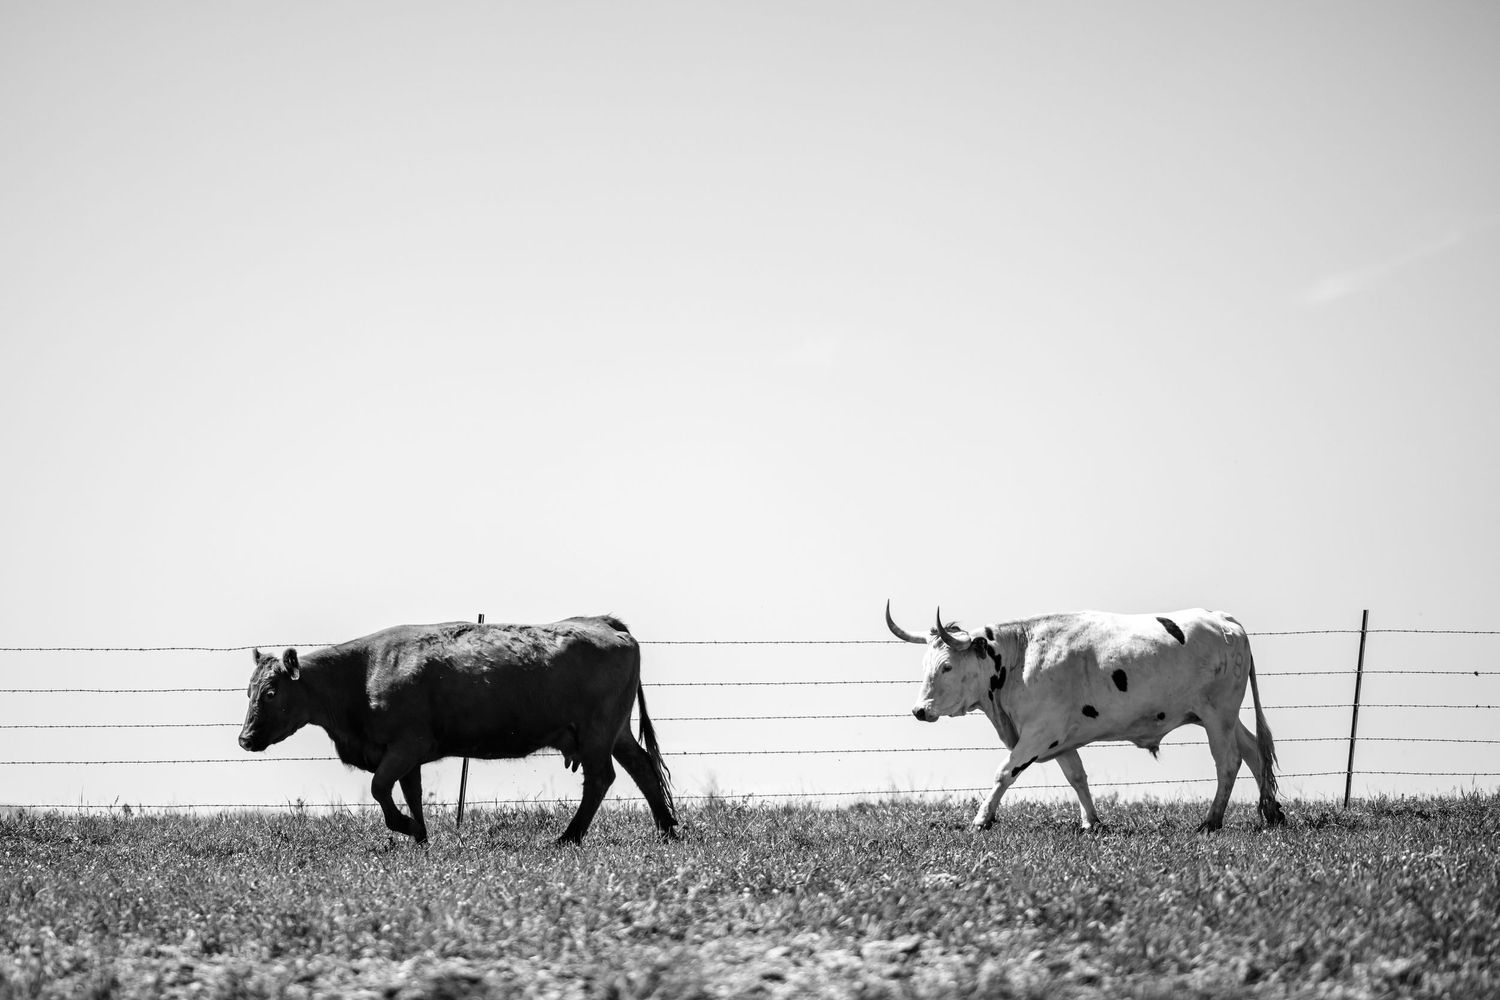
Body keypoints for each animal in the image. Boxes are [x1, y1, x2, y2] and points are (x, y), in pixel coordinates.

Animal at [238, 615, 677, 845]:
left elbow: (380, 788)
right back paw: (667, 829)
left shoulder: (406, 745)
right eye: (249, 690)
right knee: (643, 768)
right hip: (615, 732)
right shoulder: (405, 754)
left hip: (597, 733)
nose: (244, 739)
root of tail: (602, 621)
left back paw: (568, 837)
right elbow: (410, 793)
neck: (361, 672)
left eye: (271, 692)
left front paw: (408, 827)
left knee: (601, 778)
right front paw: (421, 835)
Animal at [886, 601, 1286, 833]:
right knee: (1254, 751)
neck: (1021, 657)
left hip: (1218, 715)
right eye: (925, 664)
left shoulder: (1038, 733)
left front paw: (982, 818)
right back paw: (1271, 813)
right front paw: (1092, 822)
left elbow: (1004, 772)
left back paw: (1212, 821)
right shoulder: (1060, 738)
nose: (919, 710)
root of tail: (1222, 619)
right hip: (1224, 717)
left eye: (947, 666)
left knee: (1229, 761)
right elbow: (1077, 777)